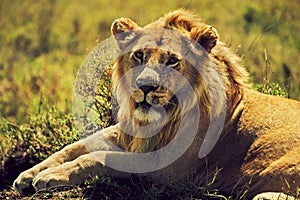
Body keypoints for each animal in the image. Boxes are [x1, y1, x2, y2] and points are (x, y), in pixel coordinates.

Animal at [12, 9, 300, 198]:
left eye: (172, 61)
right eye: (139, 55)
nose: (145, 86)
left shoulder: (170, 171)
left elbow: (99, 157)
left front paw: (51, 176)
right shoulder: (130, 132)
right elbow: (76, 146)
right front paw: (28, 174)